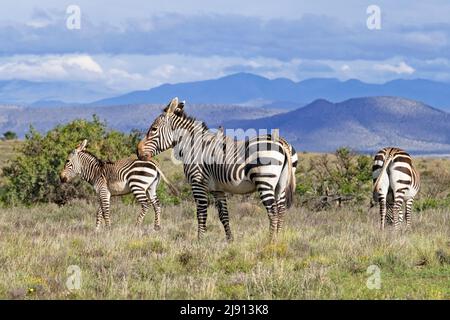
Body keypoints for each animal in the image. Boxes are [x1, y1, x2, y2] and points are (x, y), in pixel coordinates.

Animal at [137, 97, 298, 240]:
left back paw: (270, 242)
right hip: (280, 185)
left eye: (154, 129)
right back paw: (277, 240)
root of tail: (281, 142)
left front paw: (199, 241)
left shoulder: (197, 183)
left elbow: (201, 214)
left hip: (265, 181)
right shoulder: (217, 189)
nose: (137, 151)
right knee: (281, 211)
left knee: (273, 213)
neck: (193, 146)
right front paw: (230, 240)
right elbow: (224, 215)